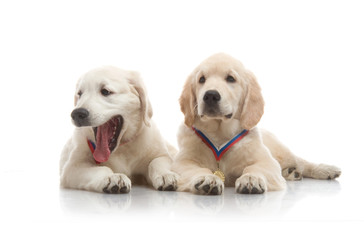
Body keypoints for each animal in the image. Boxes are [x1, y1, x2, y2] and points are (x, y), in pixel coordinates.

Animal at [59, 65, 178, 193]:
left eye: (105, 91)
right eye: (80, 94)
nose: (77, 114)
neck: (121, 149)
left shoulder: (161, 154)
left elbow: (156, 162)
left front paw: (165, 175)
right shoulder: (72, 167)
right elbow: (101, 169)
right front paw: (112, 177)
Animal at [172, 53, 340, 195]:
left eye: (231, 79)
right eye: (201, 79)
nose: (210, 95)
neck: (220, 134)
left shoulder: (266, 160)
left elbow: (254, 167)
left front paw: (251, 178)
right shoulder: (182, 161)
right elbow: (195, 169)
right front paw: (208, 178)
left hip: (282, 152)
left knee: (301, 162)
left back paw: (325, 170)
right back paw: (291, 173)